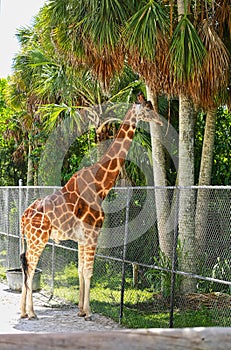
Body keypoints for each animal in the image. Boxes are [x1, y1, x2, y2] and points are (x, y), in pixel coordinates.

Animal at [19, 103, 157, 320]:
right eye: (147, 109)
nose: (159, 120)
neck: (101, 185)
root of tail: (23, 218)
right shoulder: (93, 232)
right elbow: (89, 271)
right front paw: (89, 312)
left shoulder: (83, 237)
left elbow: (81, 269)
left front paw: (81, 310)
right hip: (38, 238)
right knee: (30, 268)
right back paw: (31, 313)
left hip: (29, 238)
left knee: (25, 266)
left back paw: (23, 312)